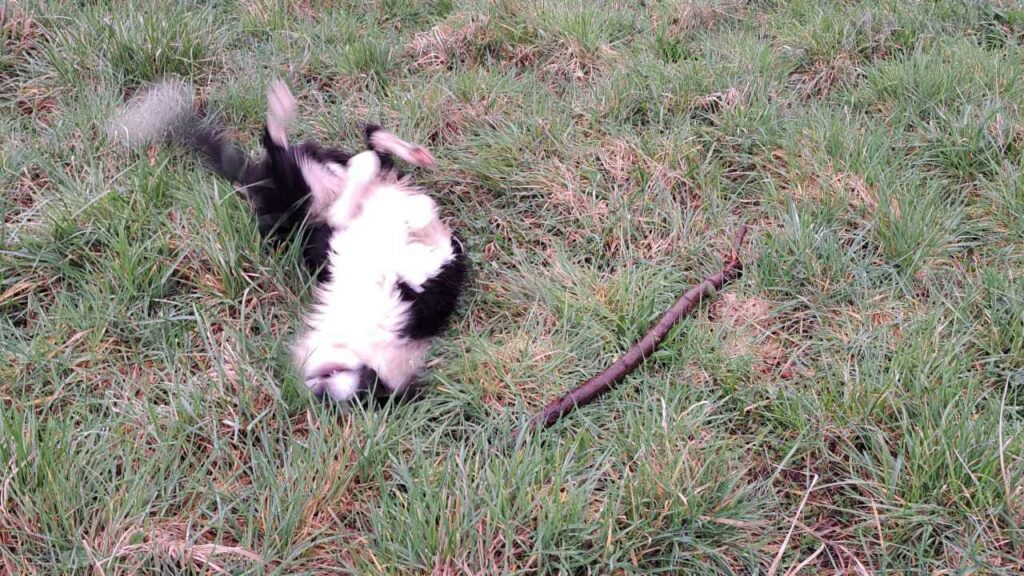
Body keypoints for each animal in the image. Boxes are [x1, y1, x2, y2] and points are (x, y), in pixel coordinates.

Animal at [108, 77, 468, 399]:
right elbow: (383, 206)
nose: (311, 382)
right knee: (351, 143)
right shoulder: (336, 242)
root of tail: (255, 180)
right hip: (297, 192)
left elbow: (412, 227)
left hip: (288, 202)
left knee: (310, 151)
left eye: (345, 385)